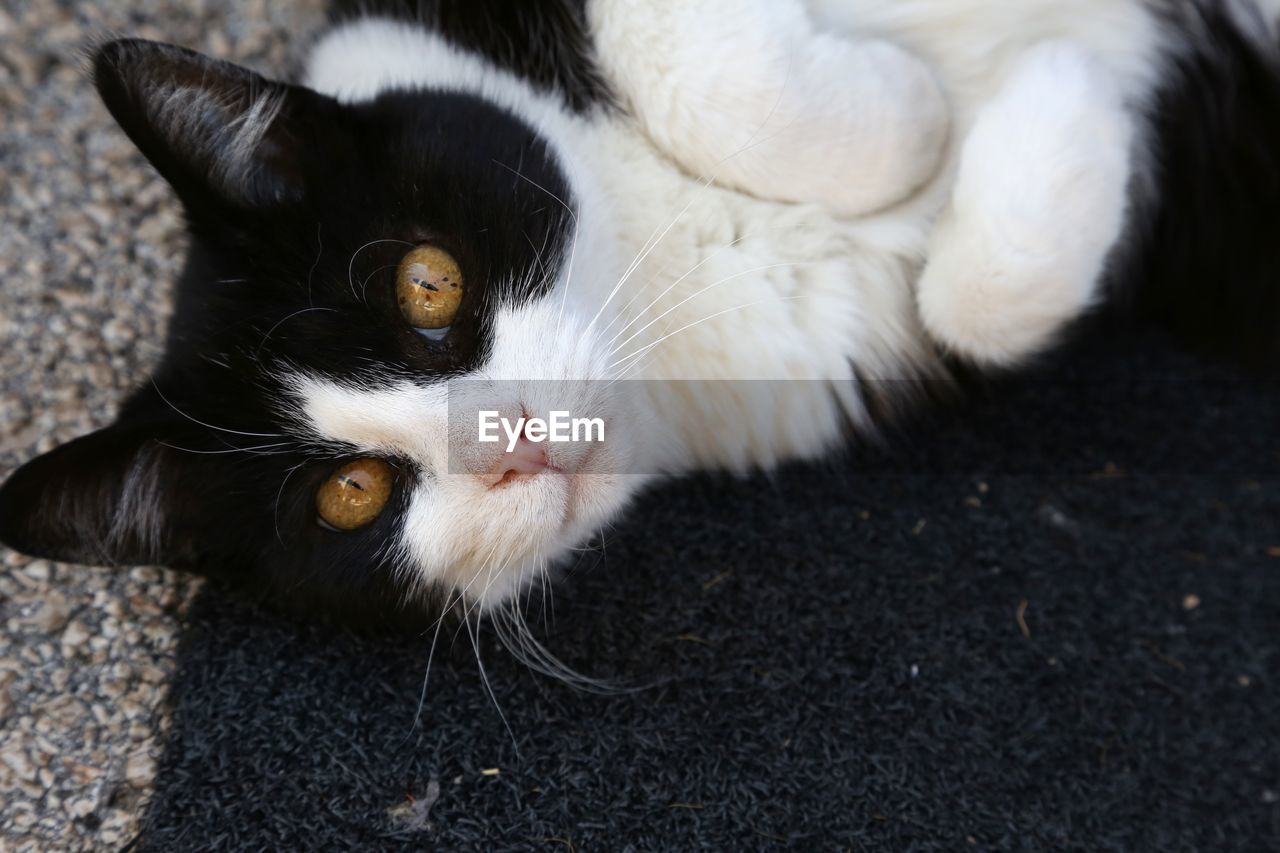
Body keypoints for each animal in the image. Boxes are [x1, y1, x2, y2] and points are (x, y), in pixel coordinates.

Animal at [2, 1, 1280, 625]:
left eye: (428, 282)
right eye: (352, 493)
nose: (512, 442)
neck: (662, 257)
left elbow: (686, 49)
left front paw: (945, 112)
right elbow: (972, 308)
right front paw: (1060, 99)